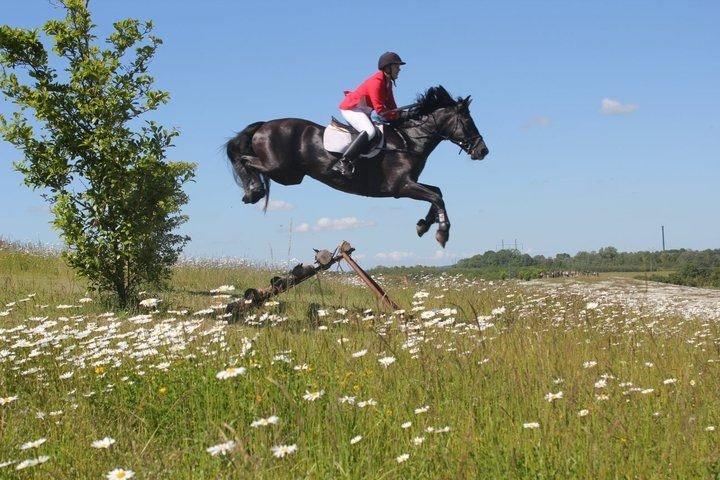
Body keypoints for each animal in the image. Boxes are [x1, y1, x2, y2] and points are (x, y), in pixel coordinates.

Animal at [226, 85, 490, 248]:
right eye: (468, 121)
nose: (483, 151)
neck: (410, 140)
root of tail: (264, 125)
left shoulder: (410, 184)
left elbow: (437, 193)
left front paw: (424, 225)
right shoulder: (401, 186)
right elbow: (437, 197)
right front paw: (442, 232)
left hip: (291, 175)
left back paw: (252, 192)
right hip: (280, 167)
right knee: (246, 161)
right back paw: (253, 191)